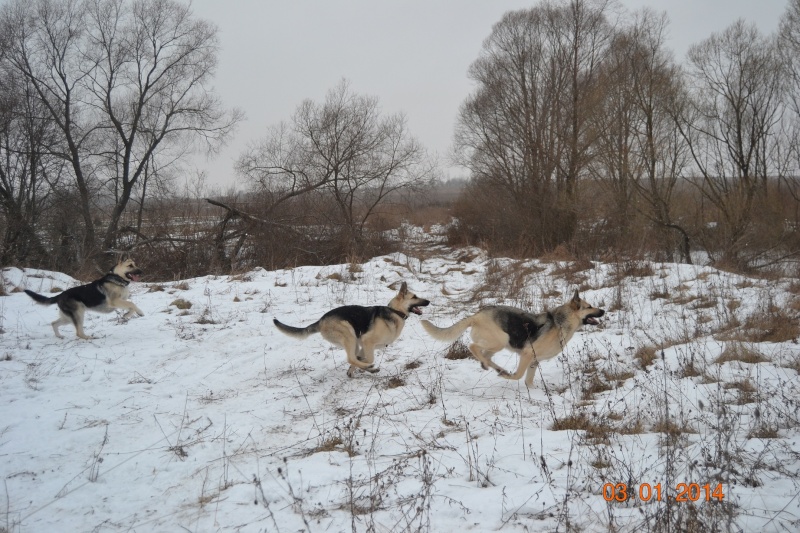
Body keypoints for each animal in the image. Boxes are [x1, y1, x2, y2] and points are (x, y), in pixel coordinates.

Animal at [274, 280, 432, 376]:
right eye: (414, 296)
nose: (429, 301)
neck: (395, 312)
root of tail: (320, 321)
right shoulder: (367, 341)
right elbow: (367, 358)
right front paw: (367, 366)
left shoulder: (363, 345)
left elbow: (360, 358)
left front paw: (354, 370)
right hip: (349, 335)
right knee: (350, 357)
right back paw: (369, 369)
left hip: (354, 341)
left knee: (352, 357)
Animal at [422, 290, 604, 386]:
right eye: (589, 307)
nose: (603, 311)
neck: (561, 322)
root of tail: (476, 316)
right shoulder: (527, 354)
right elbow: (518, 375)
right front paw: (509, 377)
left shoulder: (534, 361)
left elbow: (528, 381)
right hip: (501, 340)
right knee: (472, 347)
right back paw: (497, 369)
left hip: (497, 345)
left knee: (485, 356)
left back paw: (494, 367)